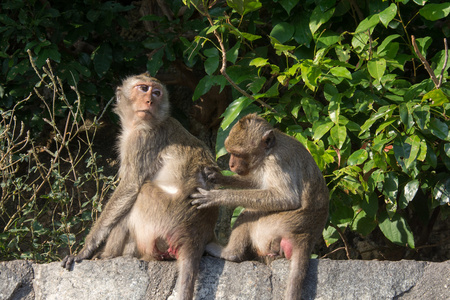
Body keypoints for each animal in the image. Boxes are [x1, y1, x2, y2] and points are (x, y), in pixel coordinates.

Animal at [192, 113, 328, 298]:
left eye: (238, 154)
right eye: (231, 153)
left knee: (249, 213)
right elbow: (256, 182)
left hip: (272, 226)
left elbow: (287, 198)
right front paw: (218, 177)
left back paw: (229, 253)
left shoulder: (276, 162)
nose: (231, 165)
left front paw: (219, 196)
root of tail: (305, 235)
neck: (269, 151)